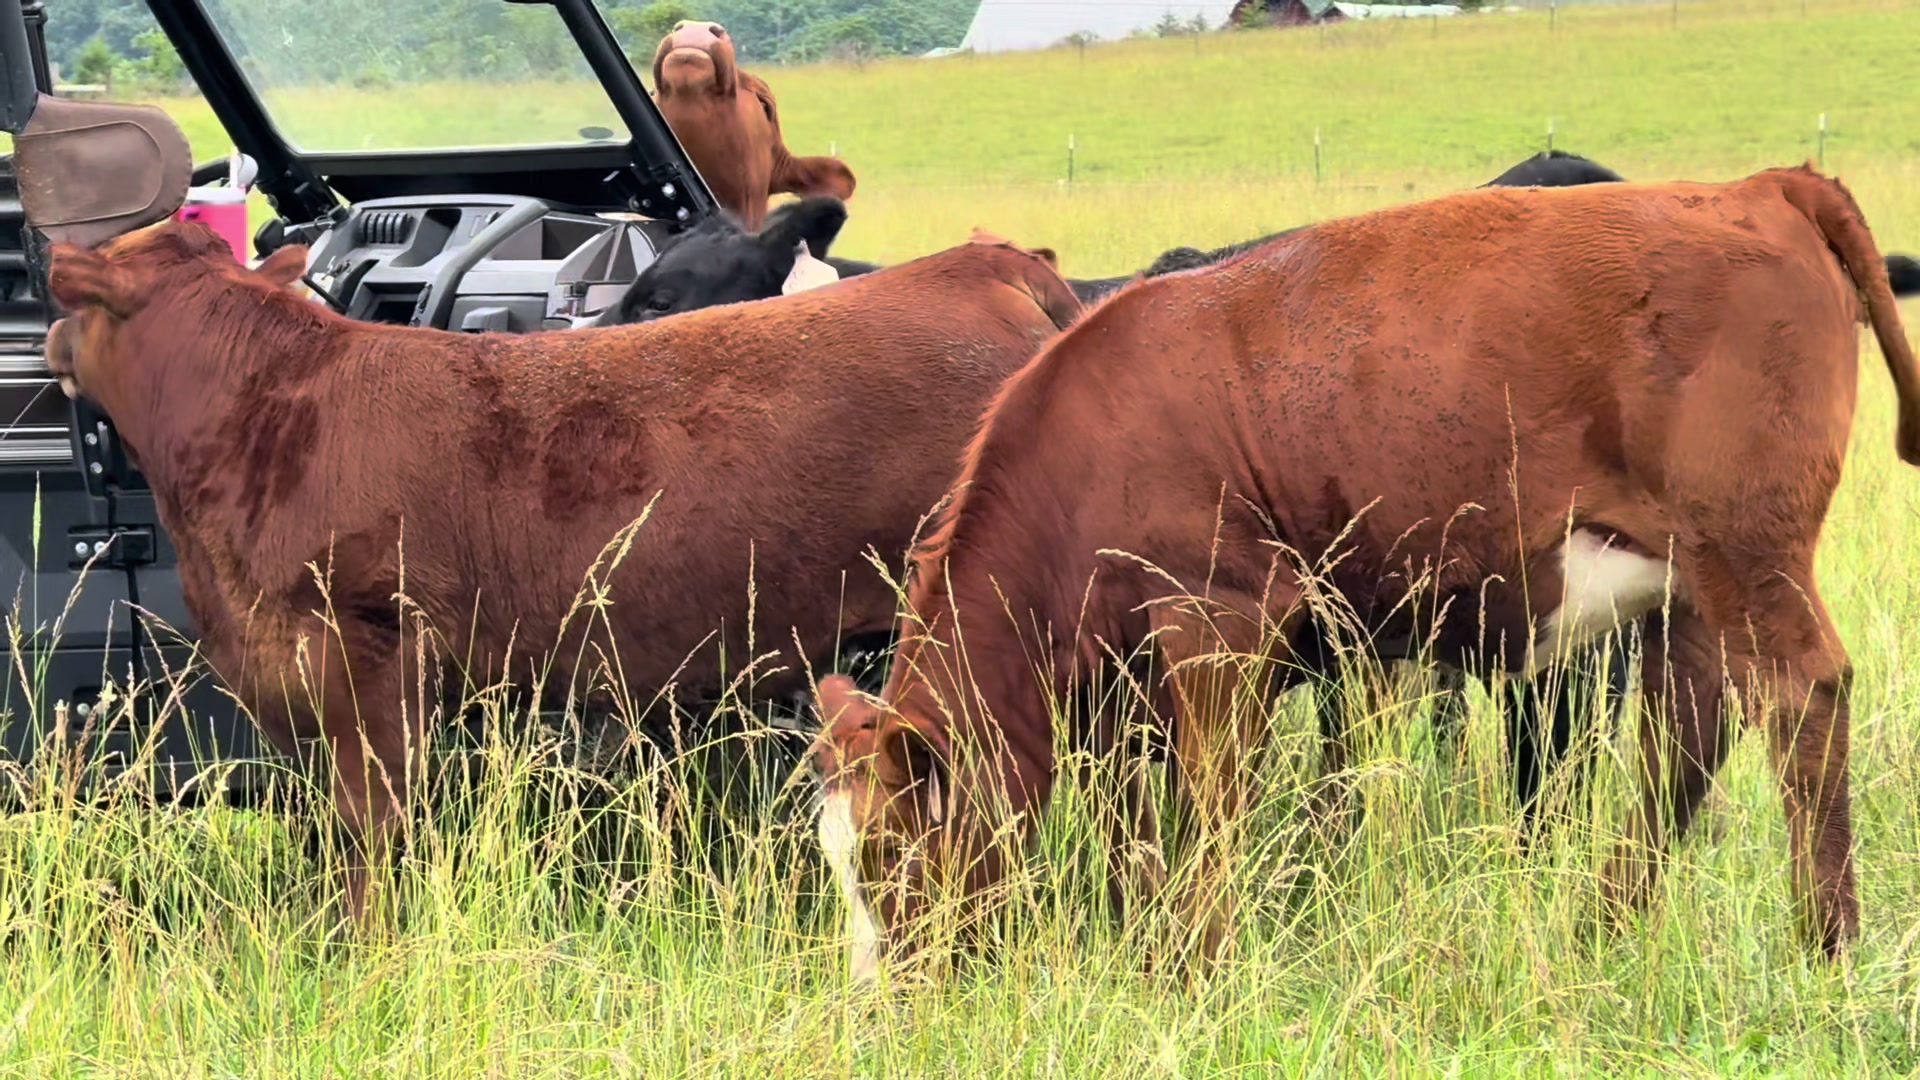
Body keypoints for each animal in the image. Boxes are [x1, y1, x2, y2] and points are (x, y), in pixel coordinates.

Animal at [43, 219, 1081, 926]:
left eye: (77, 303)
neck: (264, 405)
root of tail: (978, 264)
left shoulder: (371, 658)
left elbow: (374, 833)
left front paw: (367, 946)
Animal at [810, 164, 1920, 985]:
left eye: (888, 855)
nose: (884, 1001)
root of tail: (1756, 186)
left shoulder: (1219, 622)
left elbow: (1213, 809)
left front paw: (1202, 963)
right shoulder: (1124, 690)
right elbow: (1141, 830)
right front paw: (1156, 949)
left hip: (1748, 551)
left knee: (1799, 699)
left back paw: (1824, 944)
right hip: (1691, 578)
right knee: (1686, 728)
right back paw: (1602, 926)